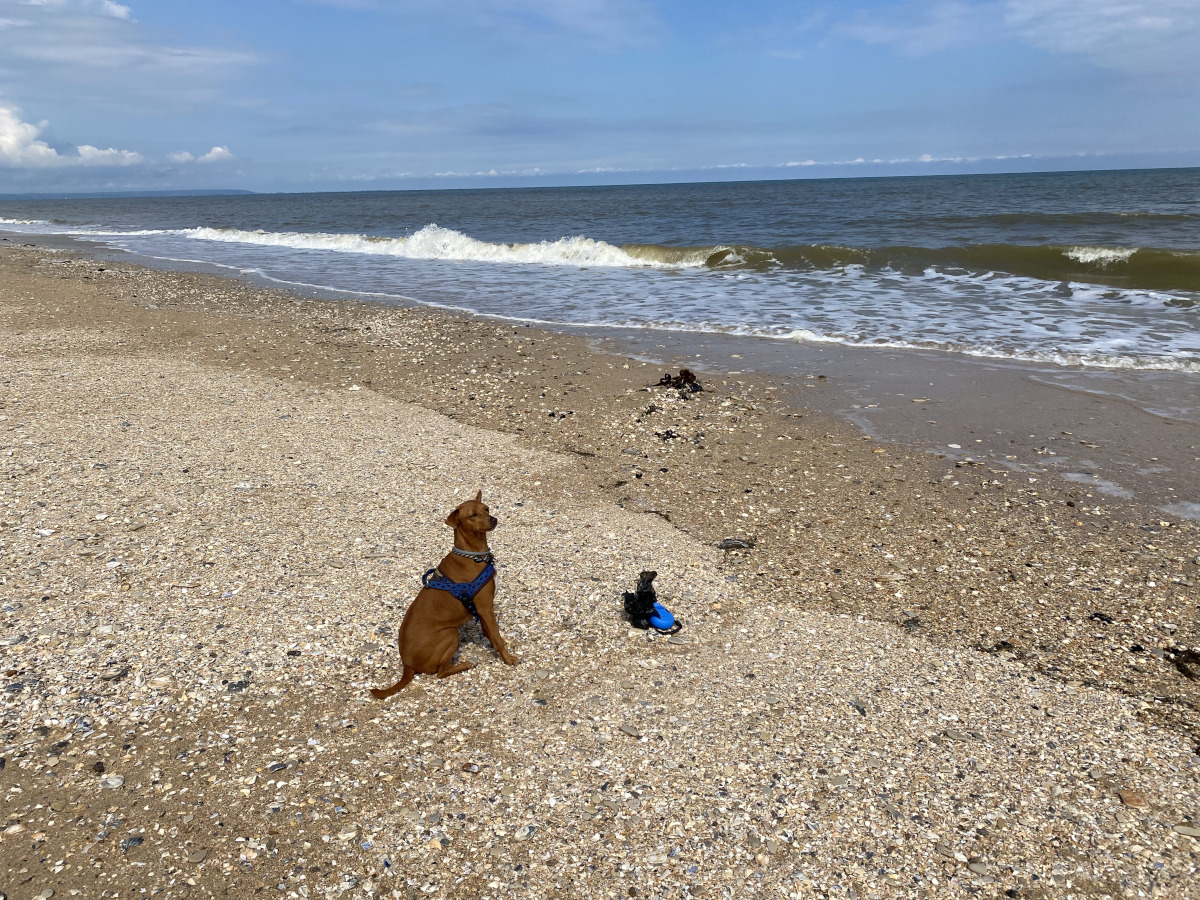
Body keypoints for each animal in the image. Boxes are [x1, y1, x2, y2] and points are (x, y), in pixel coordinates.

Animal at [364, 489, 516, 700]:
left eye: (486, 509)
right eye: (473, 515)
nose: (493, 519)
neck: (474, 555)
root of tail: (407, 665)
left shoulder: (482, 609)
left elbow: (490, 633)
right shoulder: (485, 606)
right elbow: (497, 637)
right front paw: (508, 658)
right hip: (450, 633)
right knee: (441, 673)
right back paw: (465, 664)